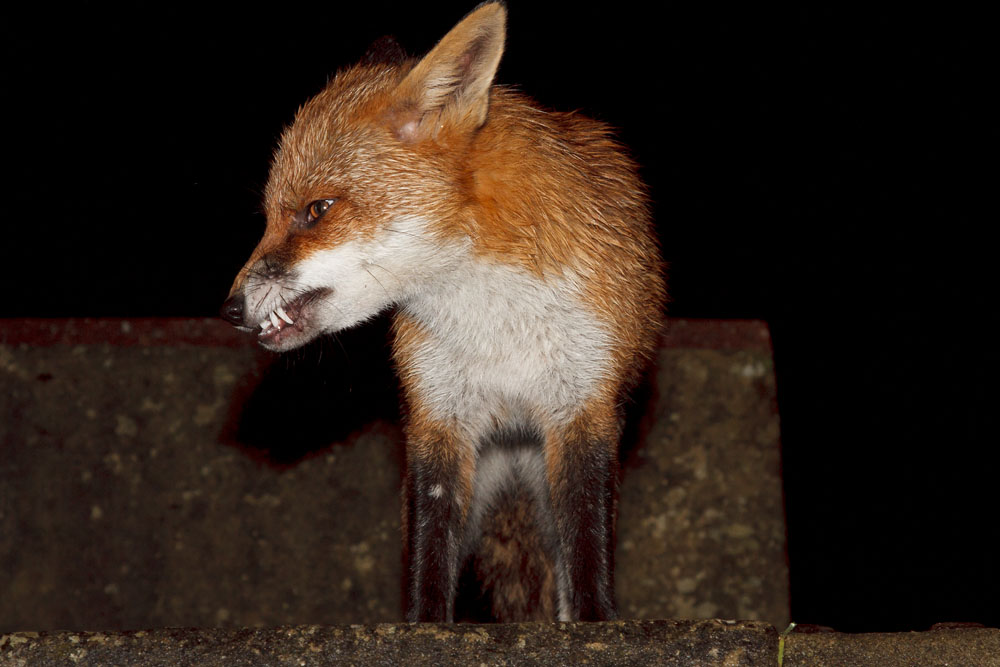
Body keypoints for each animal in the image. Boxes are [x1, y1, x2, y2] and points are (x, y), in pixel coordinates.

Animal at [220, 2, 665, 622]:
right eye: (268, 217)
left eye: (316, 210)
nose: (230, 309)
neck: (498, 330)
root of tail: (514, 440)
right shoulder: (437, 419)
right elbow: (429, 559)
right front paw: (425, 627)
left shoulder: (583, 409)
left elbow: (587, 552)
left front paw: (595, 625)